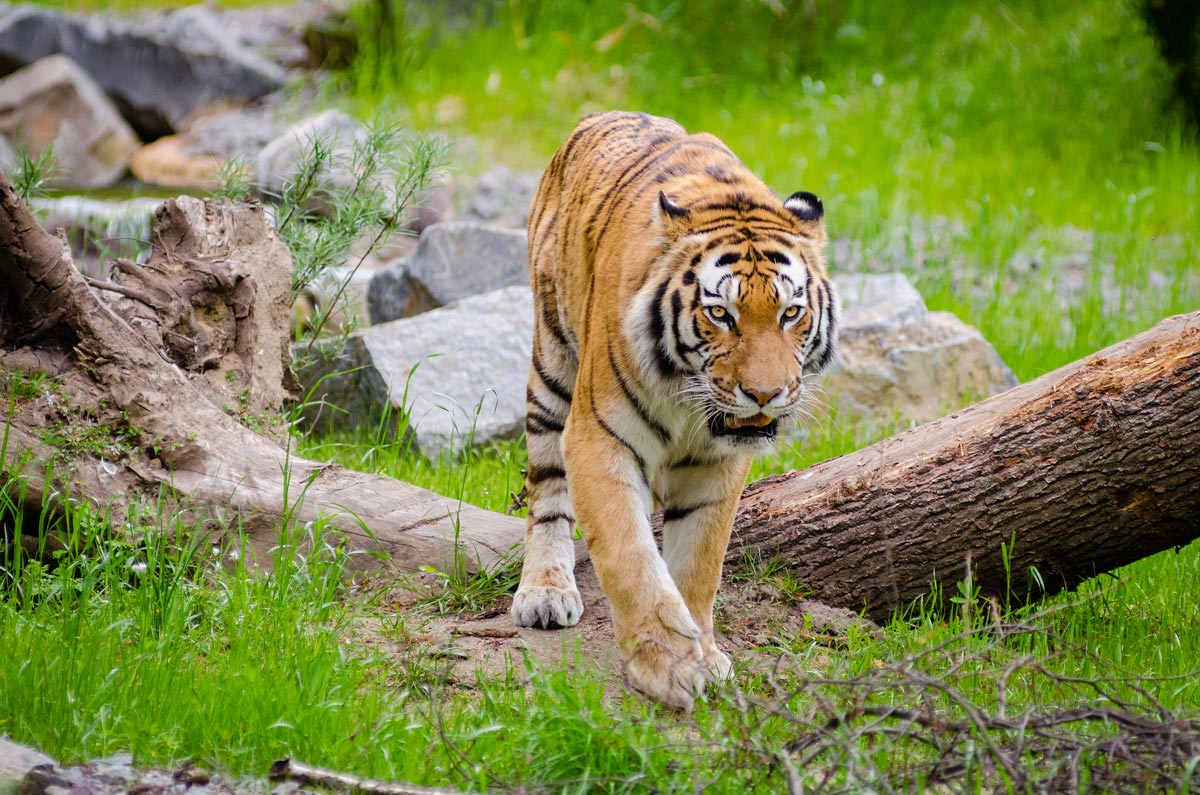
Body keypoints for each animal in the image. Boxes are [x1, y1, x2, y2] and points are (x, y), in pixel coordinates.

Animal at [511, 110, 840, 710]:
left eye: (790, 313)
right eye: (720, 314)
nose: (765, 394)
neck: (690, 401)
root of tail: (598, 115)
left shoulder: (718, 464)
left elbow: (698, 564)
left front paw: (703, 655)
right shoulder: (600, 438)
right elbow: (631, 556)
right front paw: (667, 668)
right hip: (552, 367)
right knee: (546, 490)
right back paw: (544, 592)